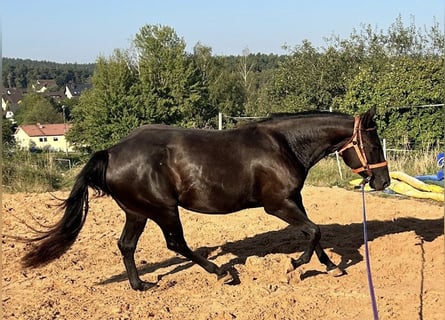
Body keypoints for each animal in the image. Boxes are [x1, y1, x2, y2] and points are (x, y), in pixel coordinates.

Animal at [21, 107, 388, 290]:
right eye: (374, 144)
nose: (383, 180)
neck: (283, 145)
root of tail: (110, 153)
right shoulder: (278, 205)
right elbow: (313, 231)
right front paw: (295, 266)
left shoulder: (293, 200)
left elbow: (315, 232)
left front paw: (329, 265)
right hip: (163, 209)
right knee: (176, 244)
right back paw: (221, 272)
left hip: (137, 212)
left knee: (126, 245)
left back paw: (140, 285)